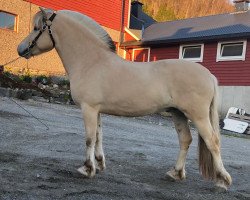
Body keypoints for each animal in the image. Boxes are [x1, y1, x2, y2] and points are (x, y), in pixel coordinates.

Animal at [17, 8, 231, 189]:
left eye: (37, 28)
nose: (20, 49)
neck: (91, 61)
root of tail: (209, 75)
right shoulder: (96, 110)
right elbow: (98, 135)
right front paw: (99, 163)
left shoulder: (88, 108)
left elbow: (89, 138)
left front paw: (87, 168)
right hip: (178, 113)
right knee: (185, 140)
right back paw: (175, 173)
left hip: (198, 116)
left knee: (213, 142)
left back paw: (222, 180)